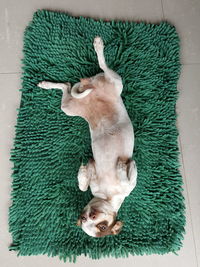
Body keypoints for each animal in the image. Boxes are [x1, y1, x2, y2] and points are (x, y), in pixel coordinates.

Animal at [37, 36, 138, 239]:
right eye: (84, 219)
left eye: (102, 227)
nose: (87, 216)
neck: (106, 195)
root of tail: (92, 86)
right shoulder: (94, 174)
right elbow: (83, 186)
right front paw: (82, 175)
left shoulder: (129, 185)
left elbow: (129, 176)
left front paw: (123, 168)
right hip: (70, 107)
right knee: (67, 85)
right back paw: (47, 84)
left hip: (113, 83)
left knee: (100, 68)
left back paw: (98, 46)